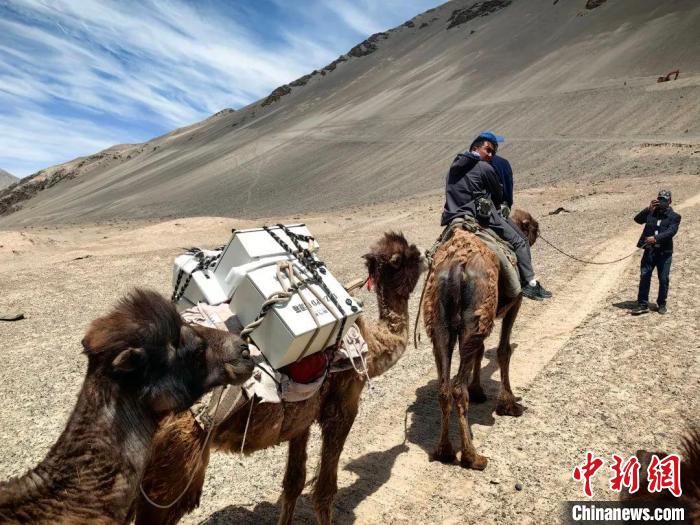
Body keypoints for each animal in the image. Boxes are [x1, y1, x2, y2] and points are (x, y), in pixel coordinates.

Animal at [134, 232, 424, 524]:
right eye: (407, 258)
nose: (425, 255)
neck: (371, 345)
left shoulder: (303, 415)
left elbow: (294, 481)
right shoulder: (343, 404)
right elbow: (325, 491)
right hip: (176, 458)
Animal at [422, 207, 540, 468]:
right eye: (531, 225)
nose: (538, 229)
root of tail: (456, 269)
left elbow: (481, 350)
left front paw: (478, 390)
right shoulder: (515, 303)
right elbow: (504, 351)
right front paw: (509, 404)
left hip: (442, 324)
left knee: (445, 387)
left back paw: (444, 451)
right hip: (476, 312)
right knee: (457, 388)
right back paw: (472, 456)